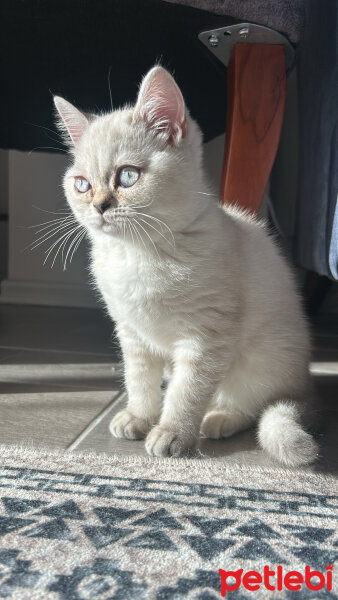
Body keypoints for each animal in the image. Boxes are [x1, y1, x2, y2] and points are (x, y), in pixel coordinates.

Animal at [54, 64, 318, 464]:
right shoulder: (132, 332)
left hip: (260, 360)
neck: (139, 255)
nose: (99, 206)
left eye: (127, 175)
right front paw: (139, 417)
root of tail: (305, 385)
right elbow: (139, 380)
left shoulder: (205, 337)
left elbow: (187, 391)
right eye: (82, 184)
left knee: (251, 404)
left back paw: (218, 419)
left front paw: (172, 433)